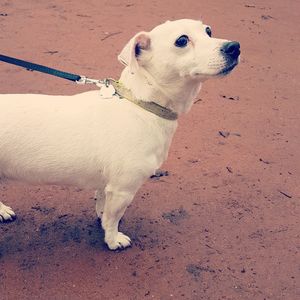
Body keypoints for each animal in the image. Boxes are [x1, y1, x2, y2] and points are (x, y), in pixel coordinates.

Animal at [0, 19, 239, 251]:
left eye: (208, 31)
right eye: (182, 40)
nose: (234, 47)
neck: (141, 105)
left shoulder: (108, 186)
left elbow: (102, 205)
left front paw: (101, 218)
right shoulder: (123, 190)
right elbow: (113, 218)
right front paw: (113, 239)